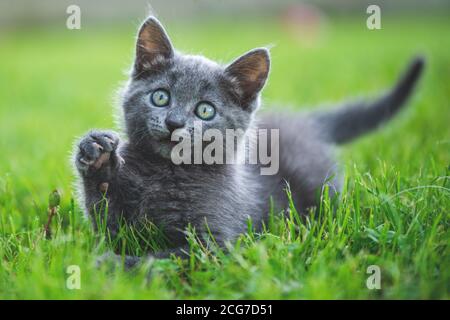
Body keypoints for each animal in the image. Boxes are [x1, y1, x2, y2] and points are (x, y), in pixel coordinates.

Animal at [73, 16, 422, 264]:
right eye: (160, 97)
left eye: (205, 110)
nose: (174, 123)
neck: (165, 173)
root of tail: (307, 121)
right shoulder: (123, 228)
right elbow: (110, 225)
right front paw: (98, 156)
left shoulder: (215, 244)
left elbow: (164, 259)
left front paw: (113, 265)